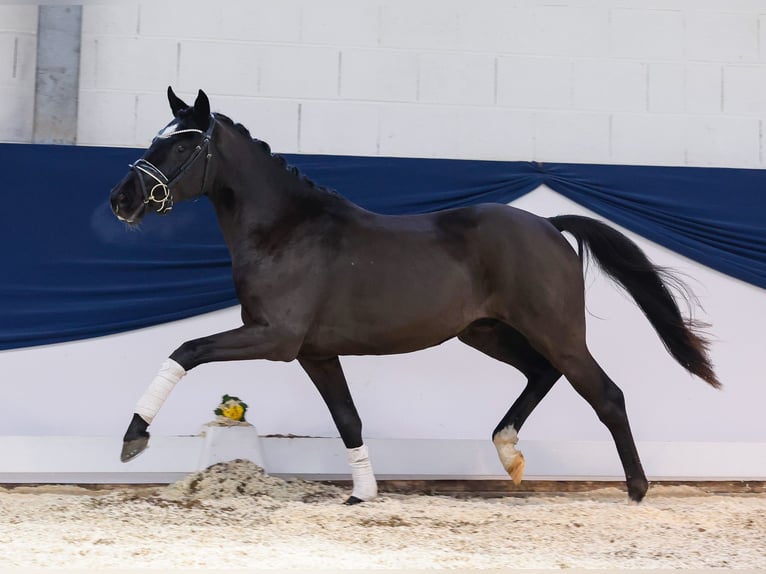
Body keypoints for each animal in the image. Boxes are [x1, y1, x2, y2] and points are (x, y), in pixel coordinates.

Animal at [108, 88, 720, 506]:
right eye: (156, 138)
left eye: (183, 143)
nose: (122, 199)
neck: (285, 230)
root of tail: (549, 225)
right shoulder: (315, 352)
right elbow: (348, 419)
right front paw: (362, 493)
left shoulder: (274, 338)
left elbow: (186, 351)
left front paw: (133, 439)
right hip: (486, 332)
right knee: (541, 374)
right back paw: (509, 454)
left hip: (556, 331)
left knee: (606, 394)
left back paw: (636, 489)